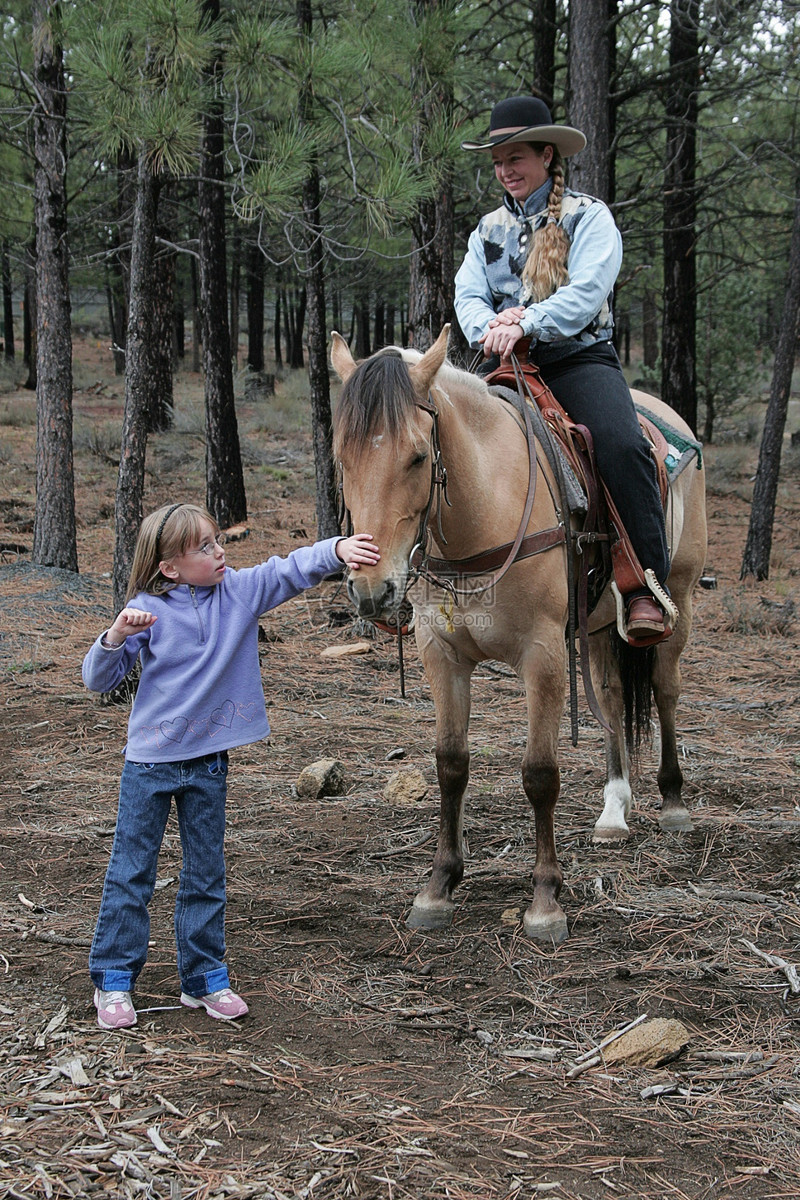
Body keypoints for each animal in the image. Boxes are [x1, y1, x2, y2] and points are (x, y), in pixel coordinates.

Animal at [331, 328, 705, 945]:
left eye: (417, 455)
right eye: (343, 456)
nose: (371, 590)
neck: (484, 511)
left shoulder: (543, 655)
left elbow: (540, 773)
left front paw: (545, 901)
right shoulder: (442, 655)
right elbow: (451, 764)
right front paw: (439, 886)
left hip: (680, 597)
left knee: (667, 690)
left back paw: (673, 801)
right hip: (598, 626)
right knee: (610, 699)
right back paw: (613, 812)